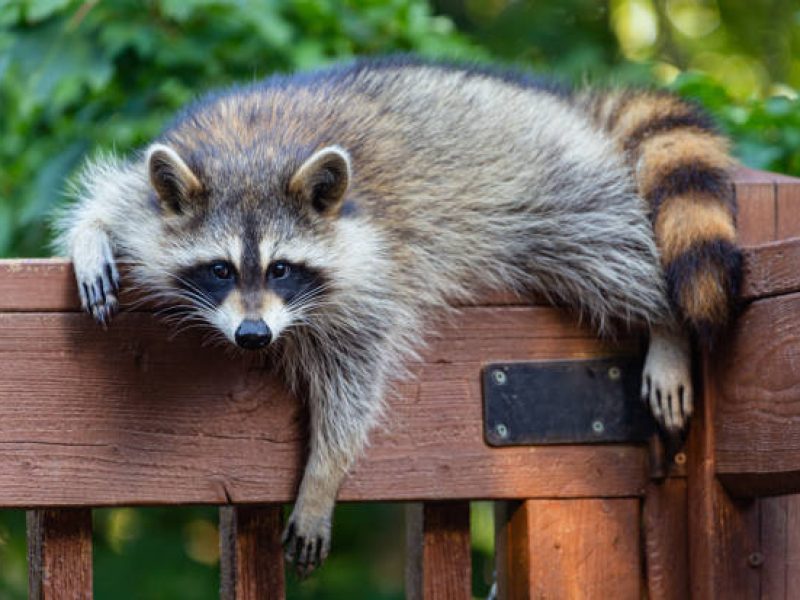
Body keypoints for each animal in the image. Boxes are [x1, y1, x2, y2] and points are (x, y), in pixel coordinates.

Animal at [54, 57, 740, 575]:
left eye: (281, 269)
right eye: (220, 269)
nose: (253, 336)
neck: (255, 152)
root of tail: (568, 104)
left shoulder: (373, 272)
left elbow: (355, 379)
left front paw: (323, 473)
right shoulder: (159, 188)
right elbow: (112, 198)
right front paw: (92, 235)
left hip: (551, 188)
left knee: (612, 252)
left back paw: (666, 322)